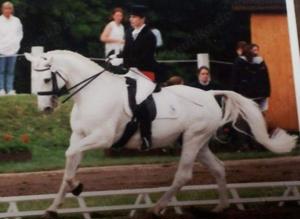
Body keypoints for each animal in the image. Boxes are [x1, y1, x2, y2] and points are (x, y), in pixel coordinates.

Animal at [24, 50, 296, 218]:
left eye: (46, 79)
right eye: (33, 79)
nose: (45, 109)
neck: (92, 93)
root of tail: (209, 94)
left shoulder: (102, 138)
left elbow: (70, 158)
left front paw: (78, 187)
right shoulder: (80, 137)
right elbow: (68, 166)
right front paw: (53, 208)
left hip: (193, 139)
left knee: (183, 175)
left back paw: (156, 208)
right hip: (198, 142)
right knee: (218, 168)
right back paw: (220, 207)